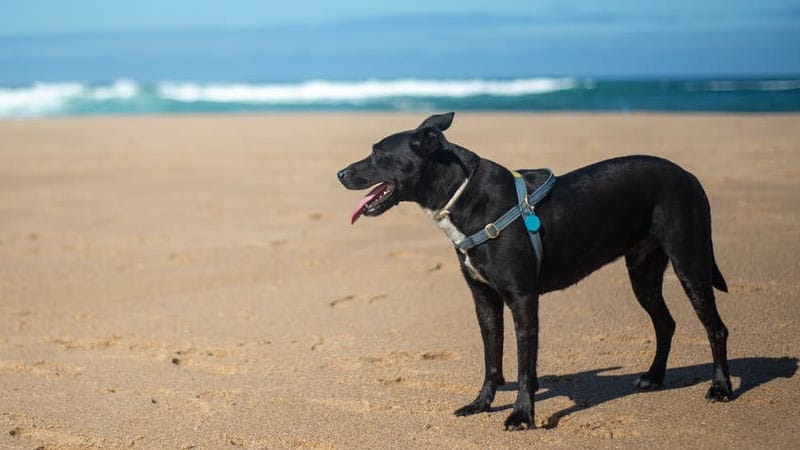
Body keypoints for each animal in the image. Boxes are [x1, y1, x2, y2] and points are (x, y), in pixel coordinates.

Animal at [338, 112, 732, 428]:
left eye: (377, 153)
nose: (340, 172)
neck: (463, 194)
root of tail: (688, 175)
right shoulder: (485, 301)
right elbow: (492, 360)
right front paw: (481, 404)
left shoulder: (523, 299)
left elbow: (524, 366)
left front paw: (521, 415)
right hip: (643, 273)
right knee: (665, 323)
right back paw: (653, 377)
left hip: (690, 261)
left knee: (716, 328)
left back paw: (722, 387)